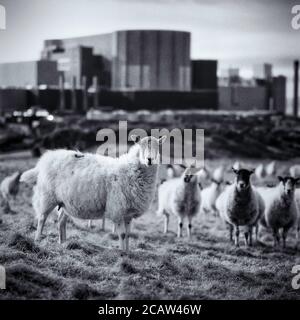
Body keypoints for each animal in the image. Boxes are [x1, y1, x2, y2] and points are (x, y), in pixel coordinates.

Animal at [21, 134, 166, 251]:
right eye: (141, 147)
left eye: (158, 147)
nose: (149, 159)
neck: (130, 169)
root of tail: (46, 159)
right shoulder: (118, 209)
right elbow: (123, 234)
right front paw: (122, 253)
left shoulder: (128, 213)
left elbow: (128, 235)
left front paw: (128, 251)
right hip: (47, 196)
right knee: (42, 218)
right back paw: (38, 239)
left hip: (64, 202)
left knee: (61, 220)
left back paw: (63, 242)